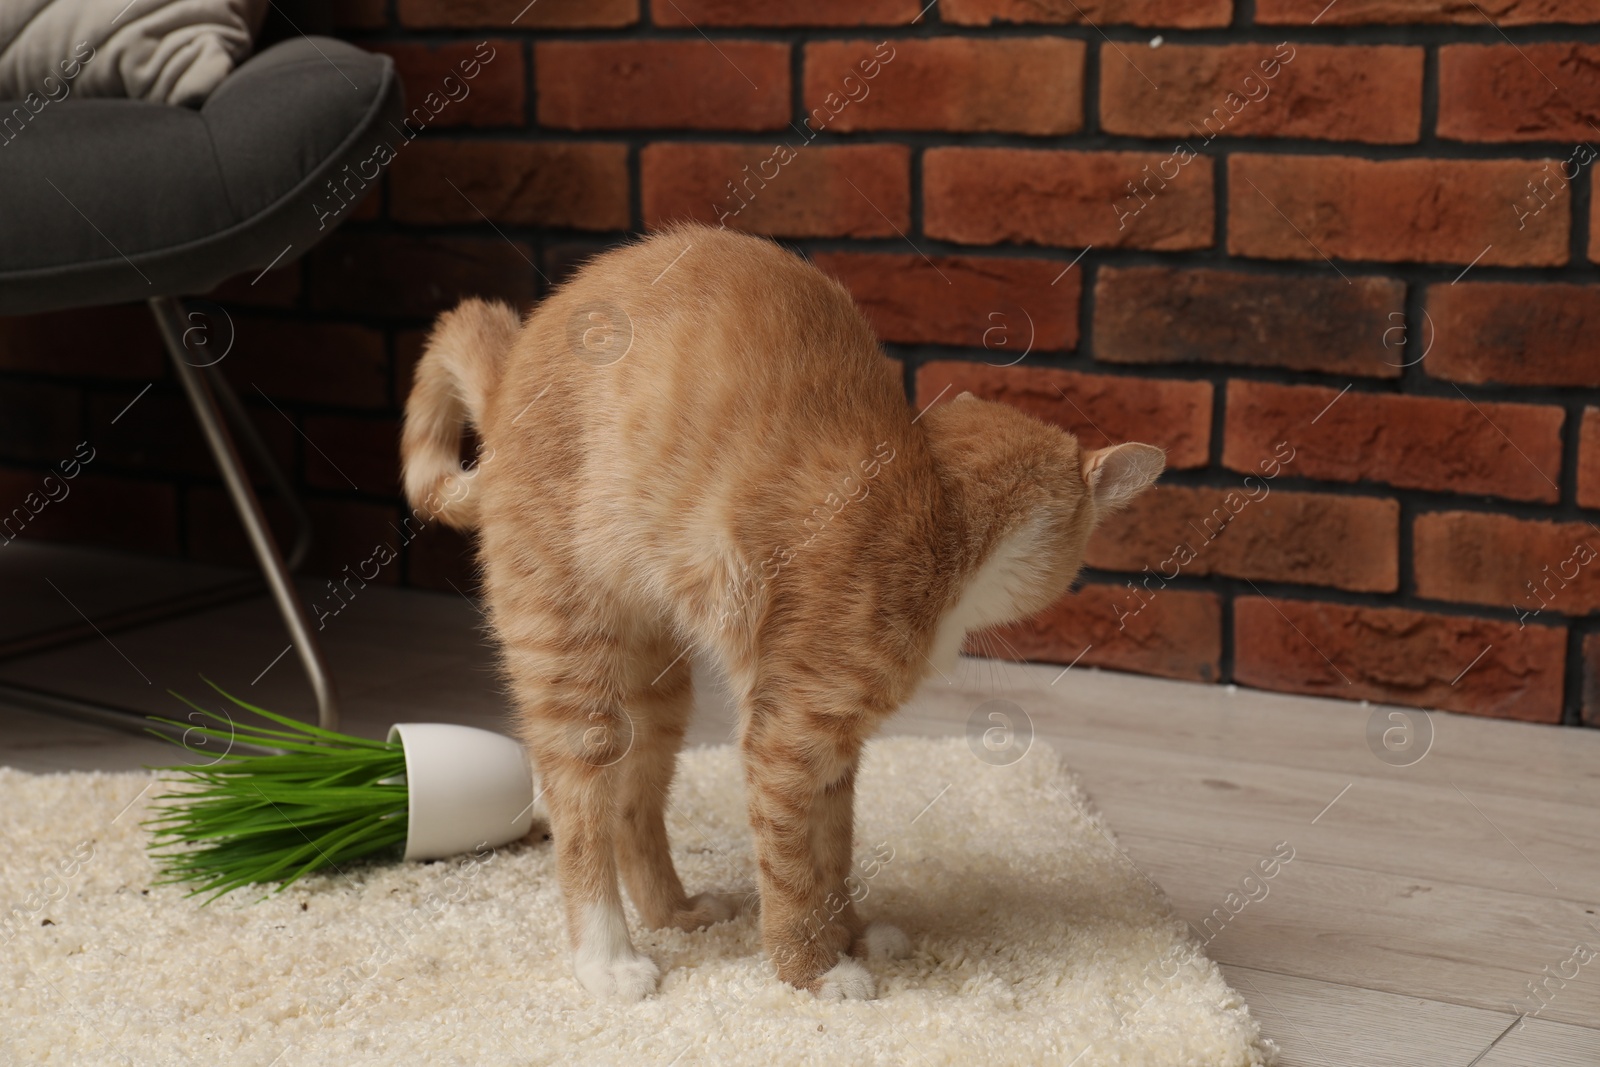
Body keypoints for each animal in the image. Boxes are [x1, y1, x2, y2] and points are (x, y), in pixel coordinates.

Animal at [393, 225, 1158, 1004]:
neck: (937, 506)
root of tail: (515, 364)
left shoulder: (835, 749)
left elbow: (832, 849)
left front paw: (851, 932)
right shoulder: (785, 736)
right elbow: (791, 869)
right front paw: (812, 971)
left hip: (658, 693)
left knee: (634, 807)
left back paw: (674, 911)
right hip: (571, 663)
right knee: (580, 811)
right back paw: (607, 958)